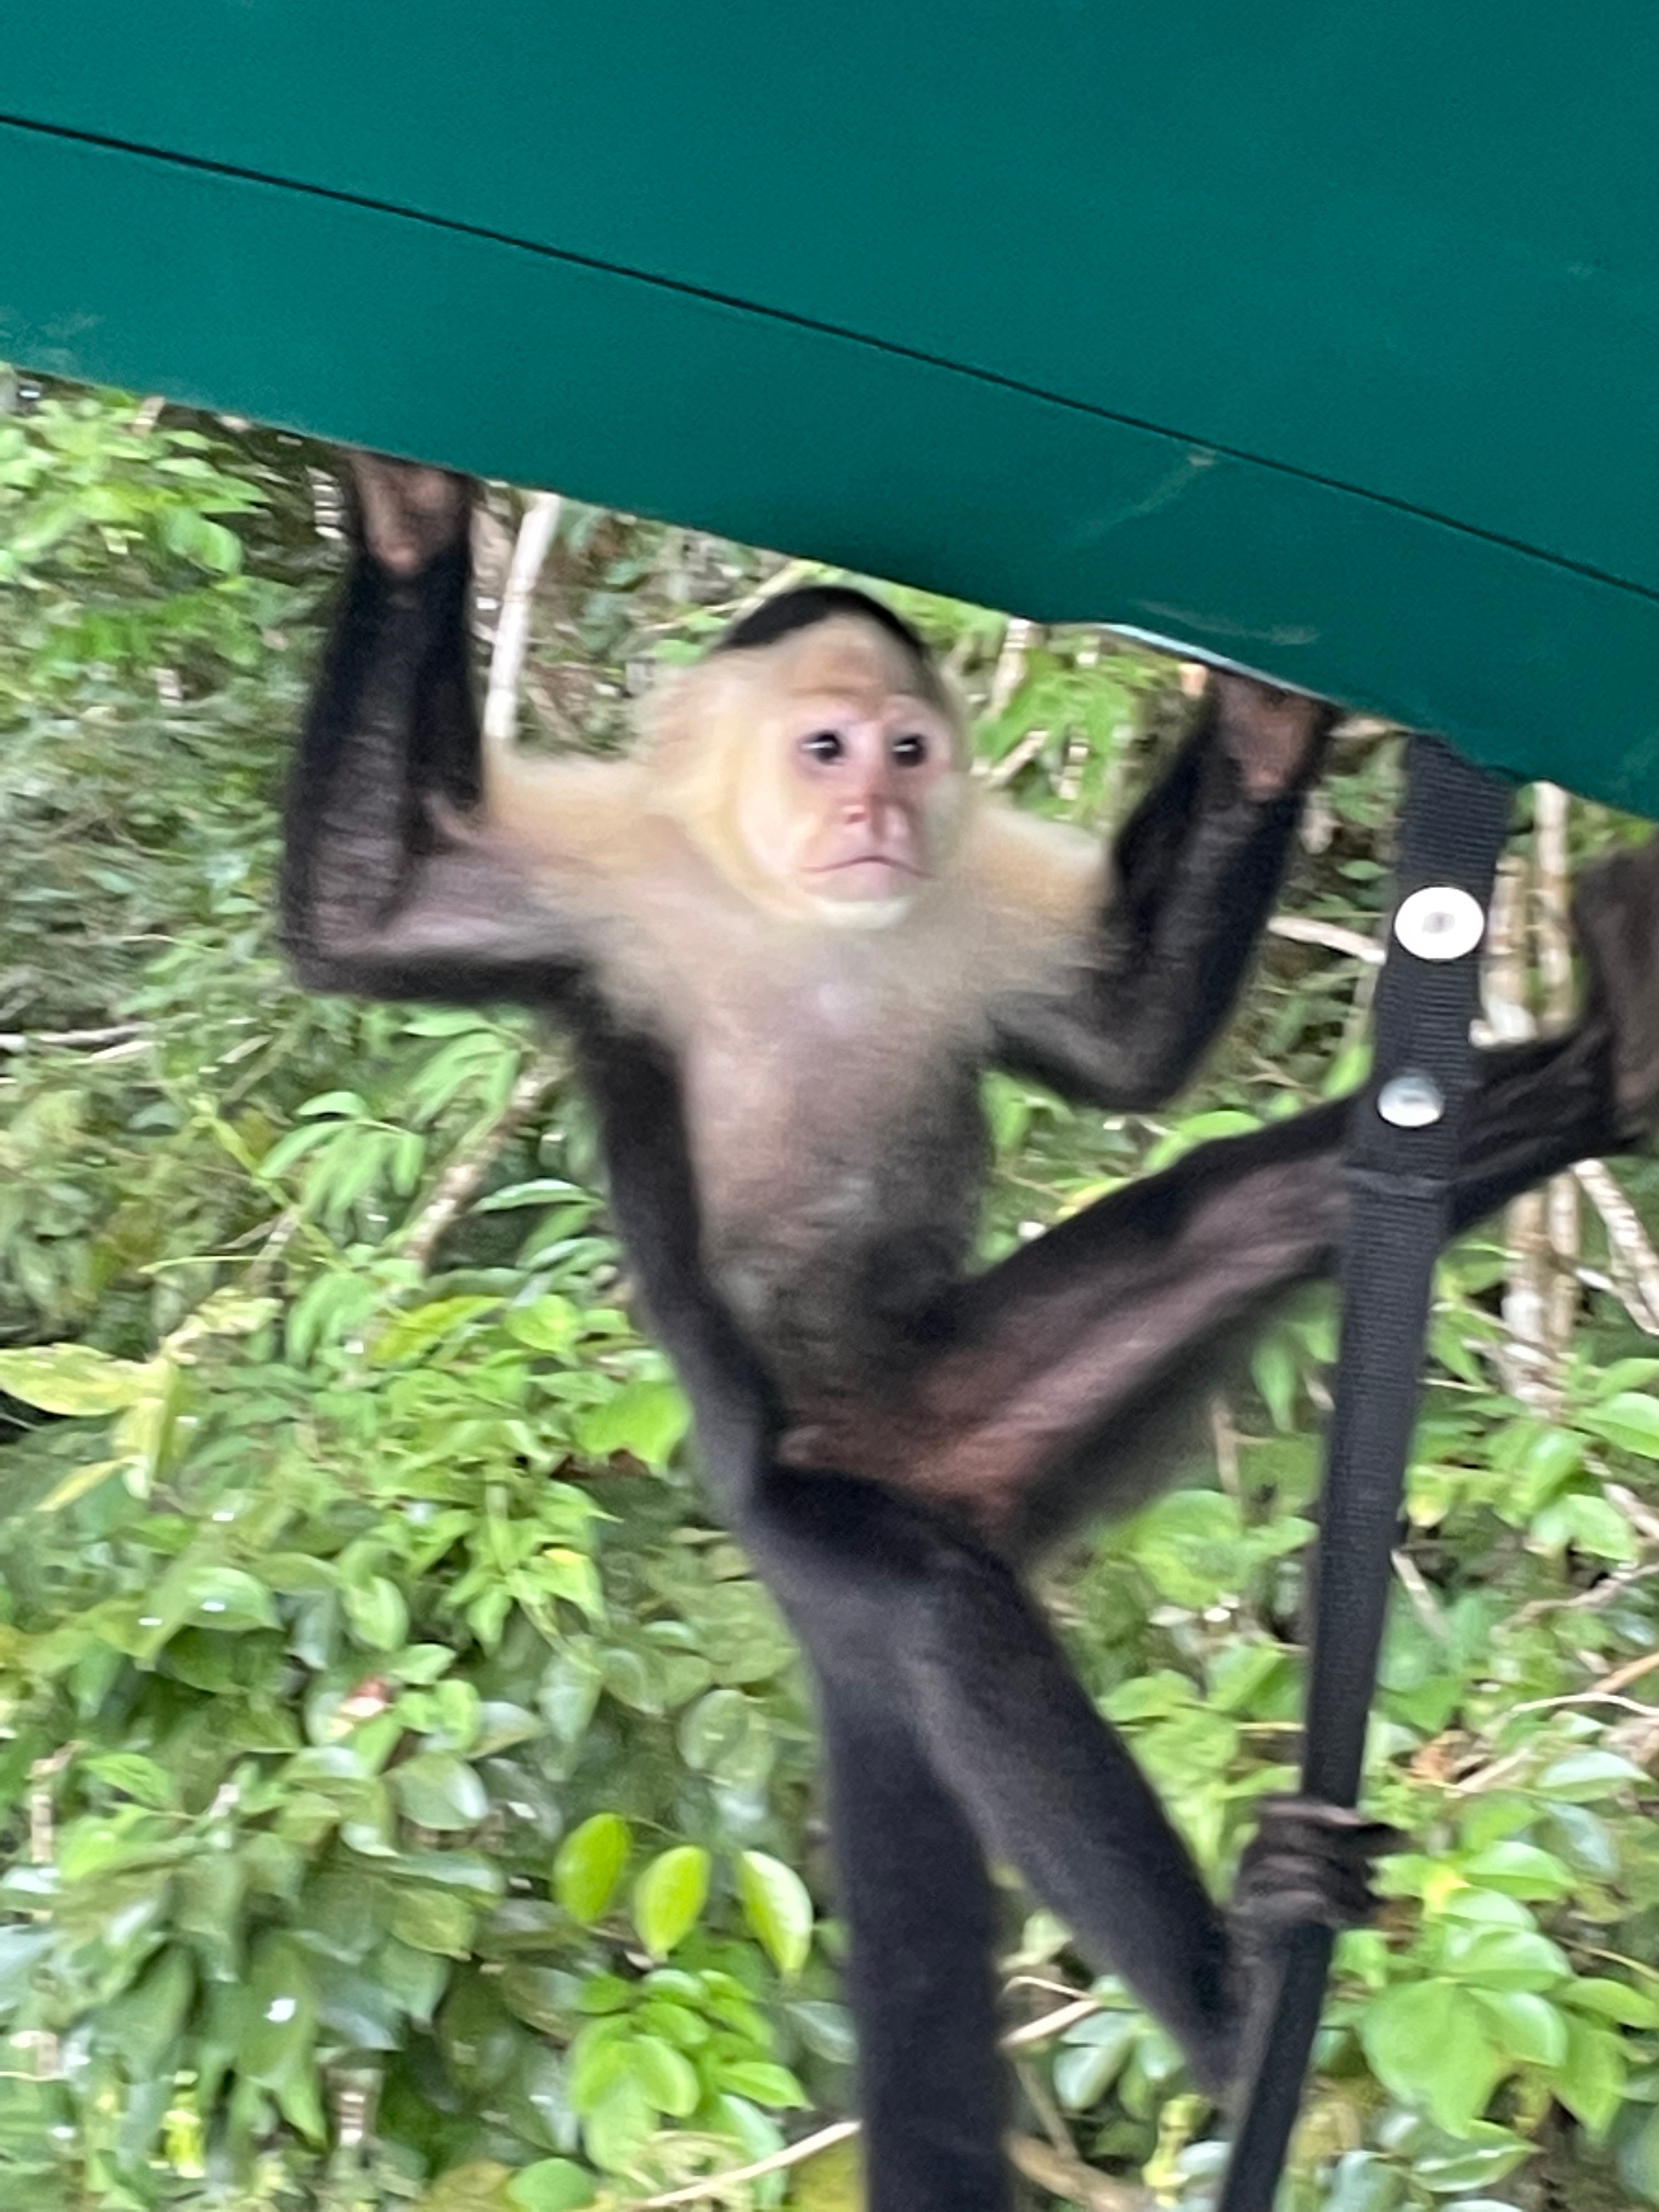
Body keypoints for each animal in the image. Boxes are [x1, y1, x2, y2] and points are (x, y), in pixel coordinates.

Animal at [281, 454, 1659, 2212]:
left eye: (909, 752)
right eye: (826, 750)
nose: (875, 814)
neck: (804, 919)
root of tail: (914, 1459)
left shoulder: (979, 891)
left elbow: (1131, 1044)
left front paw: (1270, 729)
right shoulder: (613, 885)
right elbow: (362, 914)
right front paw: (401, 521)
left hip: (1008, 1403)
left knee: (1242, 1222)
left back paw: (1614, 1066)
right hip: (810, 1513)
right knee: (940, 1616)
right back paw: (1239, 2002)